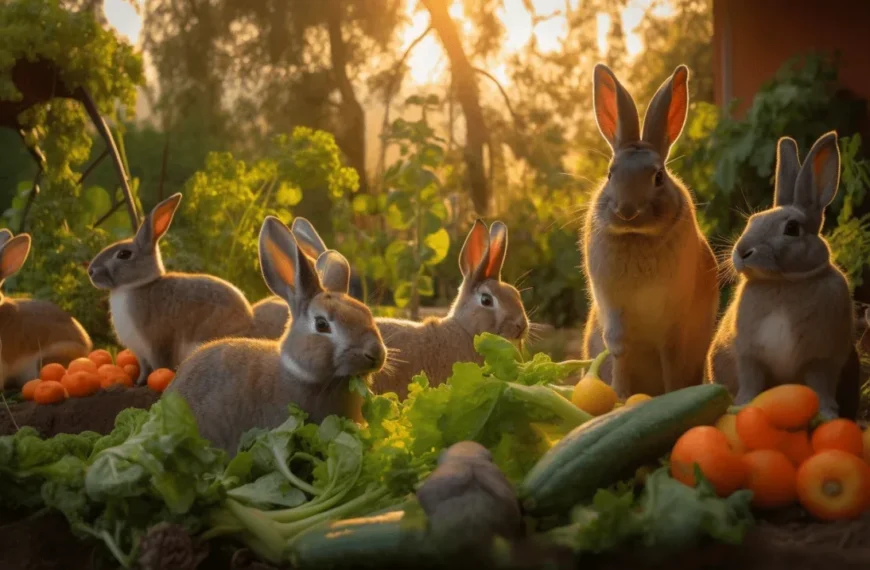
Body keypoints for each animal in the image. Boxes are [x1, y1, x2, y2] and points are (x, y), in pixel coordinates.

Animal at [87, 193, 255, 384]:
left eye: (124, 254)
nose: (90, 271)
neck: (135, 286)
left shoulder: (156, 341)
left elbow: (159, 365)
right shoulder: (140, 352)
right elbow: (144, 369)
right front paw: (139, 382)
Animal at [584, 63, 720, 400]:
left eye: (658, 177)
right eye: (610, 174)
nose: (627, 211)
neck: (637, 235)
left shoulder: (673, 323)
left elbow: (670, 356)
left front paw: (671, 395)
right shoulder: (613, 310)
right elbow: (619, 350)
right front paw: (620, 397)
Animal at [708, 133, 860, 418]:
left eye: (791, 228)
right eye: (752, 221)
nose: (742, 251)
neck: (783, 282)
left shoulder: (821, 359)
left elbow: (820, 387)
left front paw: (827, 416)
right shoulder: (749, 356)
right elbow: (751, 383)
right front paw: (741, 407)